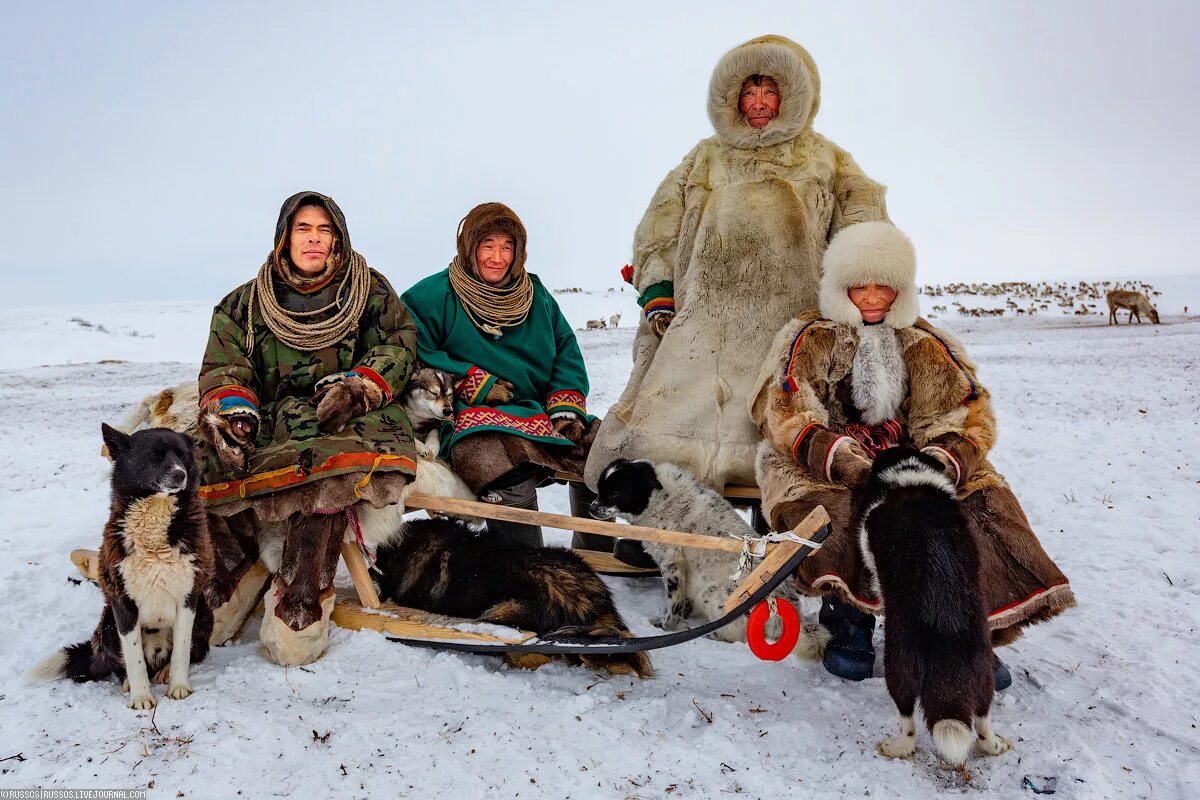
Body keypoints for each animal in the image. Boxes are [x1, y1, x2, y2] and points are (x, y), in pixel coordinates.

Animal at [31, 422, 214, 710]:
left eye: (183, 455)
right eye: (154, 456)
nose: (180, 474)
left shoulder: (188, 598)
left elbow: (181, 652)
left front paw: (178, 686)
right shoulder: (122, 602)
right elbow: (133, 657)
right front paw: (140, 696)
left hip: (205, 613)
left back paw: (163, 672)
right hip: (108, 622)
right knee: (121, 664)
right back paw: (129, 681)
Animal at [588, 460, 825, 652]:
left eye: (615, 494)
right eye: (599, 490)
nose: (591, 507)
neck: (658, 496)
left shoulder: (672, 562)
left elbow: (673, 603)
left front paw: (668, 627)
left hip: (712, 593)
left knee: (736, 634)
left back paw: (709, 635)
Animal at [854, 448, 1012, 767]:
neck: (911, 478)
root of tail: (946, 623)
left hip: (899, 665)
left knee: (908, 722)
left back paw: (897, 747)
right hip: (983, 670)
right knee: (983, 718)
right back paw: (993, 745)